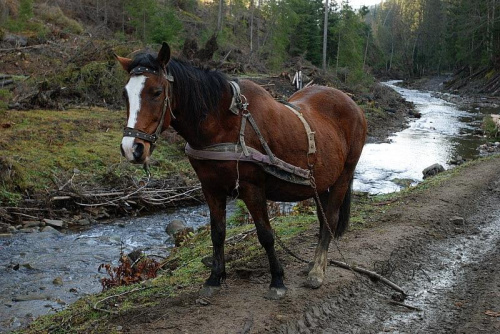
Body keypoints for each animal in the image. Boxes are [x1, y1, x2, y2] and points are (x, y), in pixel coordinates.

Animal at [117, 43, 368, 298]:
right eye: (125, 94)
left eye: (157, 92)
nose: (132, 148)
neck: (225, 124)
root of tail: (352, 104)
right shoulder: (211, 188)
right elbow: (217, 233)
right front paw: (214, 278)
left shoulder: (252, 188)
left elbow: (265, 235)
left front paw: (277, 280)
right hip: (321, 182)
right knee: (322, 218)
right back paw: (316, 264)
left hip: (344, 176)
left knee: (330, 219)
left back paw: (317, 271)